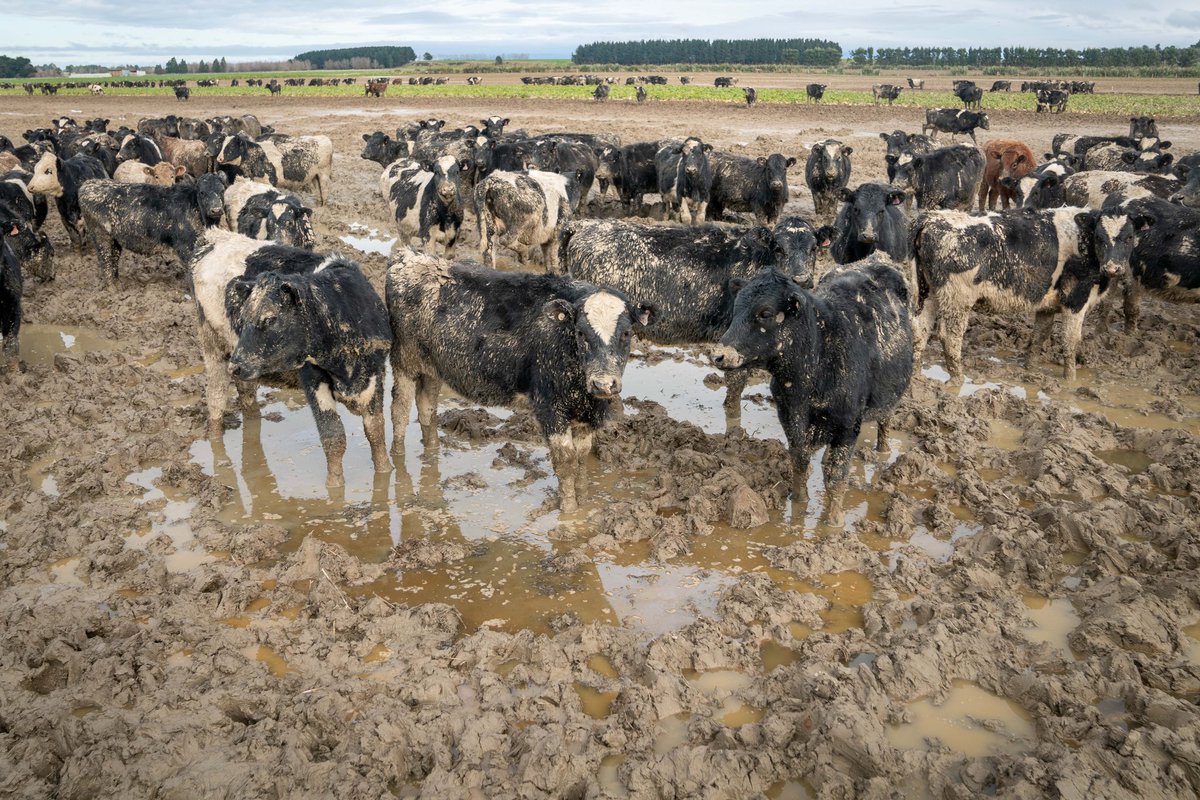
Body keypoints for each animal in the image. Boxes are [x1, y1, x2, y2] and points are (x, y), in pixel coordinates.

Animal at [77, 173, 227, 285]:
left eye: (222, 190)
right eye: (202, 192)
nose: (216, 210)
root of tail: (89, 184)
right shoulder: (185, 246)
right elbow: (192, 270)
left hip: (115, 240)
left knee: (113, 260)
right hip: (101, 236)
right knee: (107, 261)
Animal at [191, 229, 391, 486]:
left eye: (269, 319)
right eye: (243, 318)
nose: (236, 366)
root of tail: (214, 237)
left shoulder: (376, 373)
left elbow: (376, 431)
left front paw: (386, 472)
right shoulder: (312, 377)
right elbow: (334, 437)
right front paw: (334, 487)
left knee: (246, 394)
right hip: (215, 348)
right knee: (215, 400)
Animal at [386, 250, 648, 511]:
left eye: (626, 333)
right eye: (581, 333)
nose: (603, 384)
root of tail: (409, 257)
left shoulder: (587, 411)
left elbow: (582, 456)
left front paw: (583, 500)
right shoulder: (549, 407)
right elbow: (565, 460)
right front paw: (570, 511)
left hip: (433, 368)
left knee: (426, 407)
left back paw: (432, 450)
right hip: (404, 361)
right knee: (399, 411)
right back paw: (395, 459)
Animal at [710, 254, 912, 526]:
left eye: (765, 312)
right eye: (736, 309)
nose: (719, 355)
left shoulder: (848, 426)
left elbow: (836, 477)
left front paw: (834, 522)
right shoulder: (791, 416)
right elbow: (800, 461)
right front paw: (799, 502)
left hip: (889, 400)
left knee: (884, 424)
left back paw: (883, 451)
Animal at [912, 207, 1141, 381]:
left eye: (1129, 237)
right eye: (1099, 237)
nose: (1113, 268)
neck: (1084, 243)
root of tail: (932, 218)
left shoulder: (1047, 306)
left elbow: (1039, 336)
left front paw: (1030, 370)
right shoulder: (1076, 301)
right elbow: (1071, 342)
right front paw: (1070, 381)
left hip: (927, 294)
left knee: (920, 332)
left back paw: (917, 380)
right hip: (958, 300)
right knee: (950, 337)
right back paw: (958, 379)